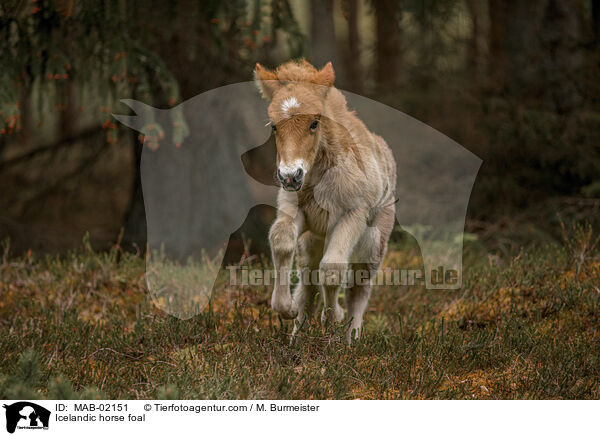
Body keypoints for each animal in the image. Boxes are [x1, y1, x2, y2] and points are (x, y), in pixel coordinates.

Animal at [255, 60, 396, 340]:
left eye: (314, 123)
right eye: (274, 126)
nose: (290, 176)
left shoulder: (353, 214)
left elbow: (332, 269)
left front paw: (333, 318)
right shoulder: (293, 208)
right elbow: (280, 240)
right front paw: (286, 309)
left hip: (373, 242)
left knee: (359, 285)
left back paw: (351, 336)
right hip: (313, 240)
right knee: (308, 280)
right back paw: (297, 335)